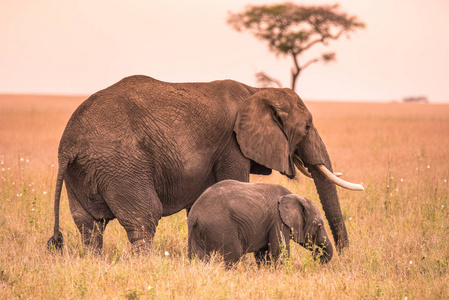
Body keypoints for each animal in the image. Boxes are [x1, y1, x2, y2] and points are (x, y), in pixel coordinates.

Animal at [47, 75, 362, 253]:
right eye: (307, 126)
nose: (344, 255)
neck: (256, 90)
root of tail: (68, 145)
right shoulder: (232, 144)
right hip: (122, 163)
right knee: (144, 218)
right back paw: (146, 265)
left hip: (83, 171)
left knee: (89, 226)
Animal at [186, 179, 332, 266]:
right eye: (319, 226)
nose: (316, 254)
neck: (294, 196)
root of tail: (194, 215)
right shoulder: (277, 220)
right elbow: (280, 250)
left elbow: (262, 254)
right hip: (221, 228)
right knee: (234, 254)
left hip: (198, 231)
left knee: (199, 257)